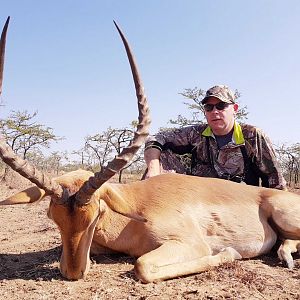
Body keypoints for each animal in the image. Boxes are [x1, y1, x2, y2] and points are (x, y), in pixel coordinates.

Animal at [0, 17, 300, 282]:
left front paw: (229, 253)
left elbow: (142, 266)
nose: (73, 272)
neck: (133, 210)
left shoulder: (190, 244)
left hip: (282, 214)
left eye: (96, 213)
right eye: (52, 215)